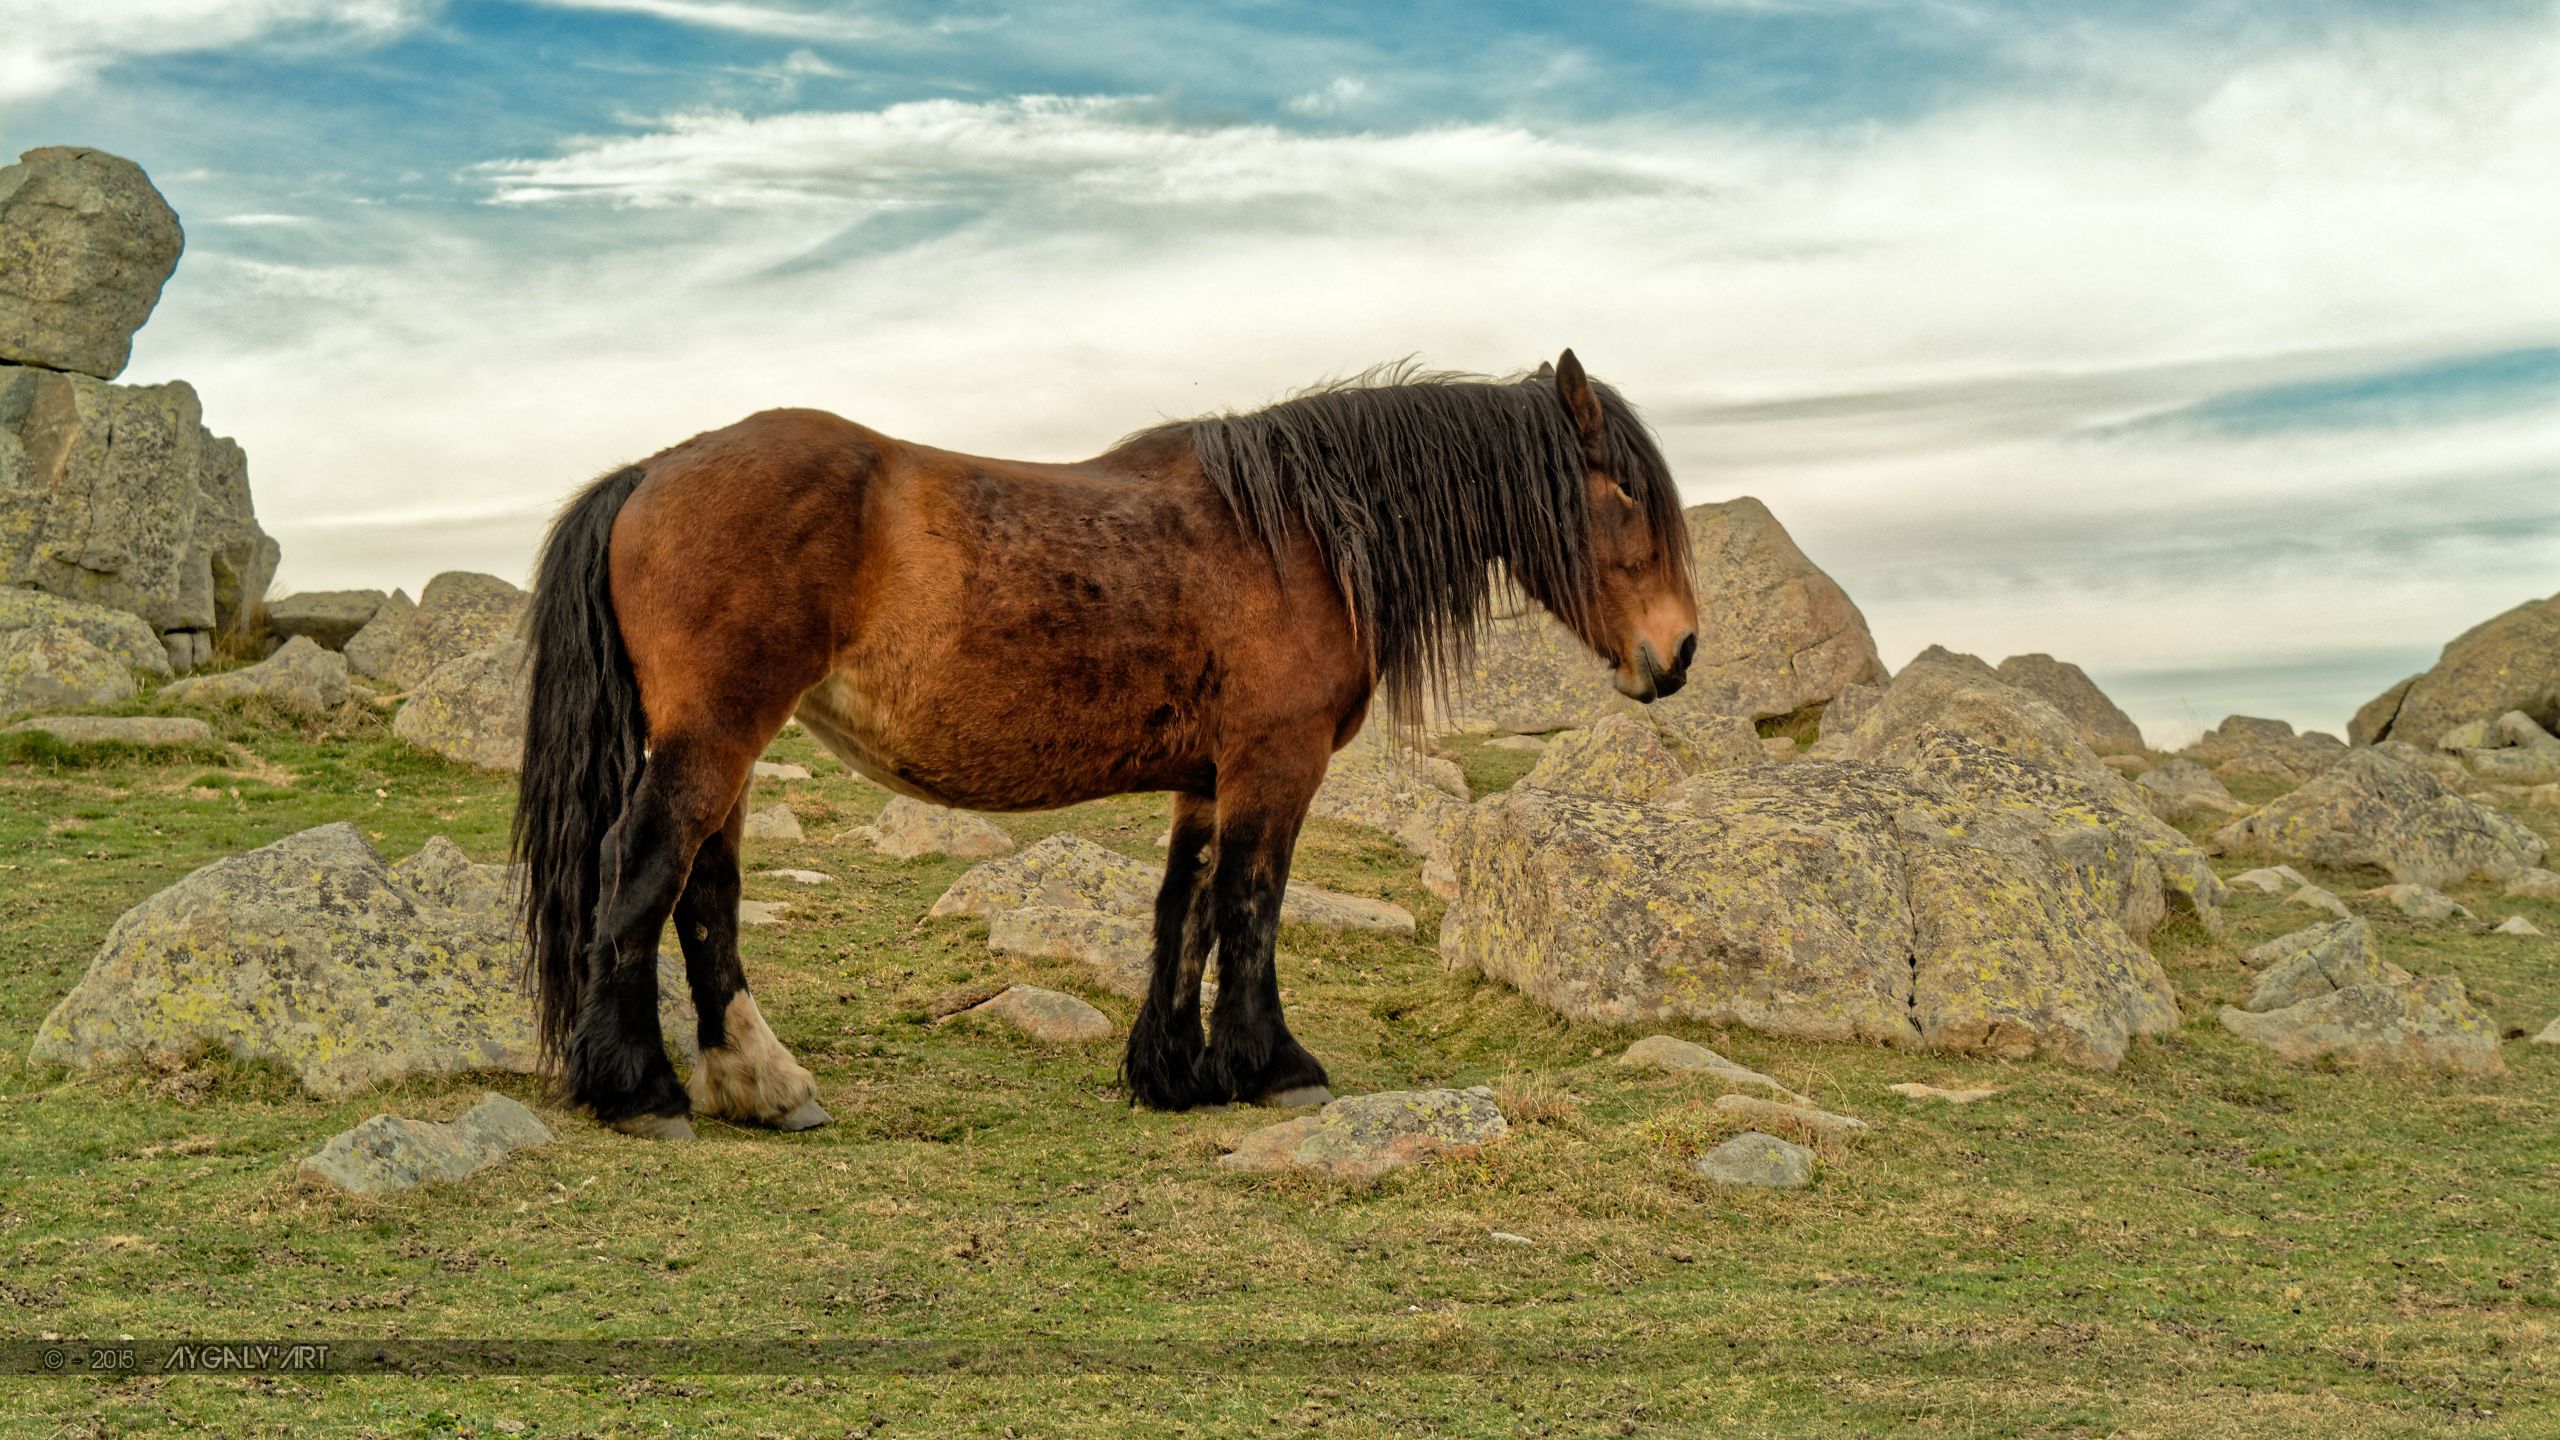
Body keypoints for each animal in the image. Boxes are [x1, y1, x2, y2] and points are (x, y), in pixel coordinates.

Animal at [506, 348, 1689, 1132]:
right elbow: (1251, 907)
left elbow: (1185, 910)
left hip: (729, 744)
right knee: (642, 871)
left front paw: (1172, 1072)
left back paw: (761, 1085)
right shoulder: (1276, 762)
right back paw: (643, 1089)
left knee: (704, 893)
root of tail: (651, 471)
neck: (1299, 535)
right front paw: (1272, 1065)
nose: (1676, 654)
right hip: (715, 734)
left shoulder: (1209, 779)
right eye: (1625, 493)